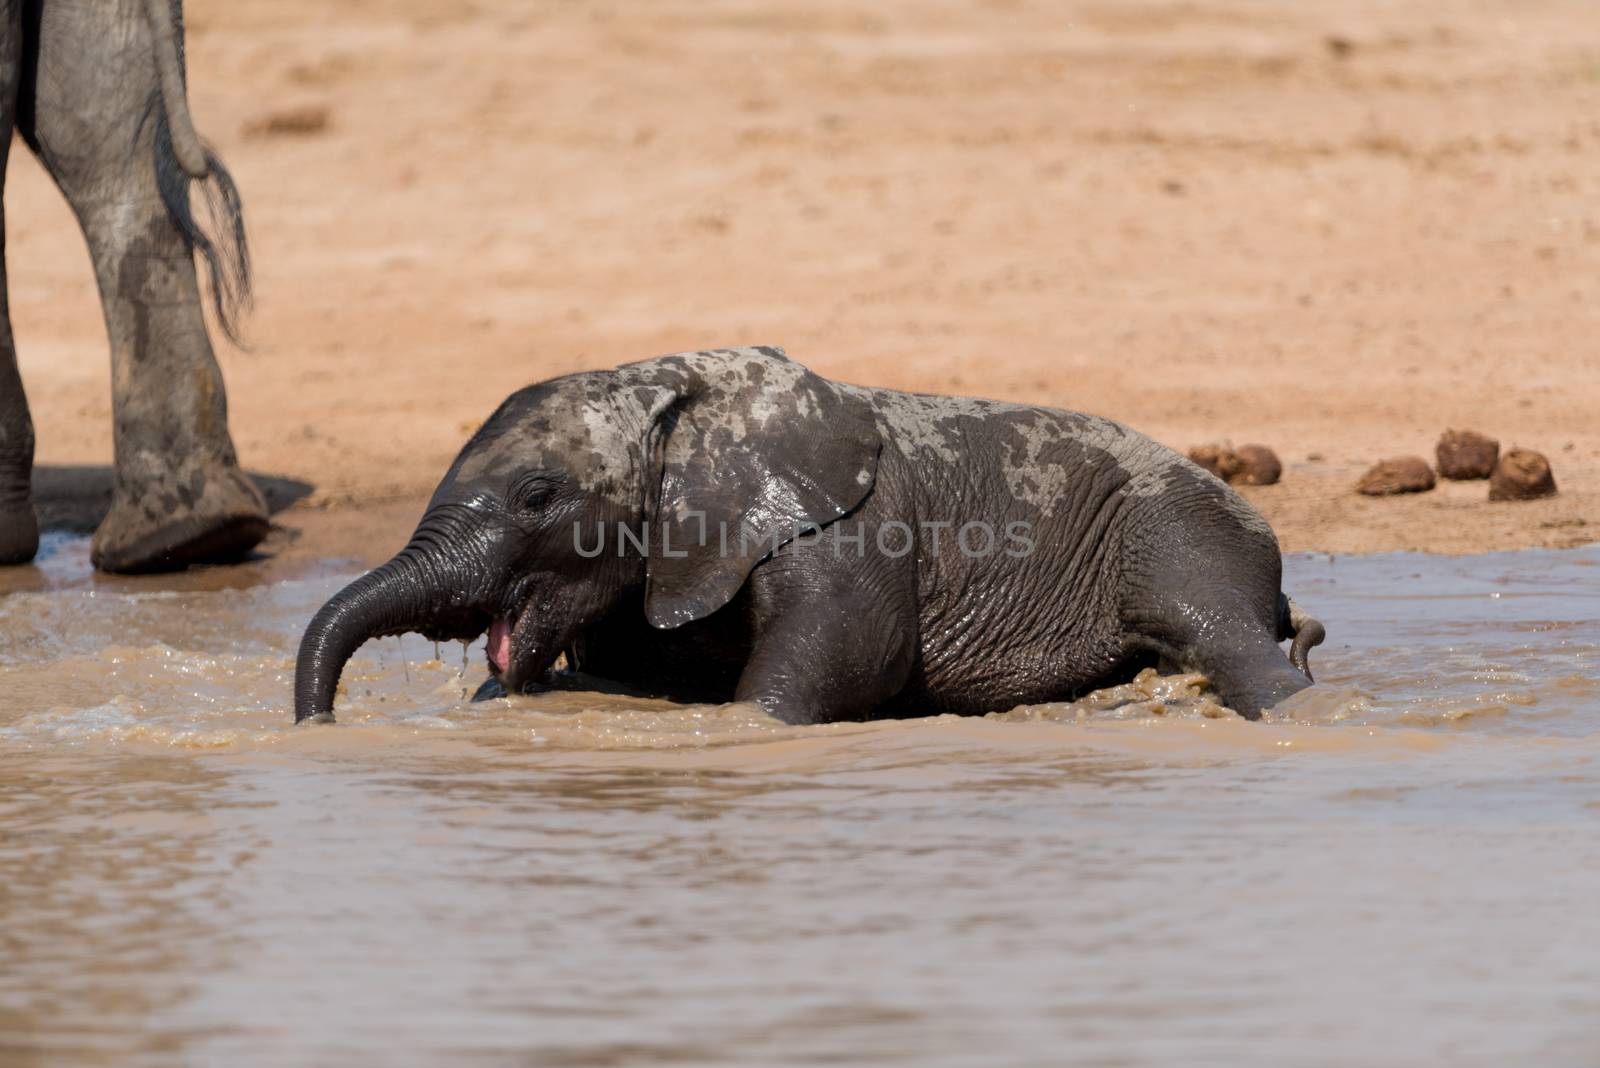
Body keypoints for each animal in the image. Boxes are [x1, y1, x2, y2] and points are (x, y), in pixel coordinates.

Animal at [297, 348, 1324, 725]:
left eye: (539, 496)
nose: (320, 726)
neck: (664, 387)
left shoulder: (850, 526)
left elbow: (845, 656)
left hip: (1178, 522)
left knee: (1220, 634)